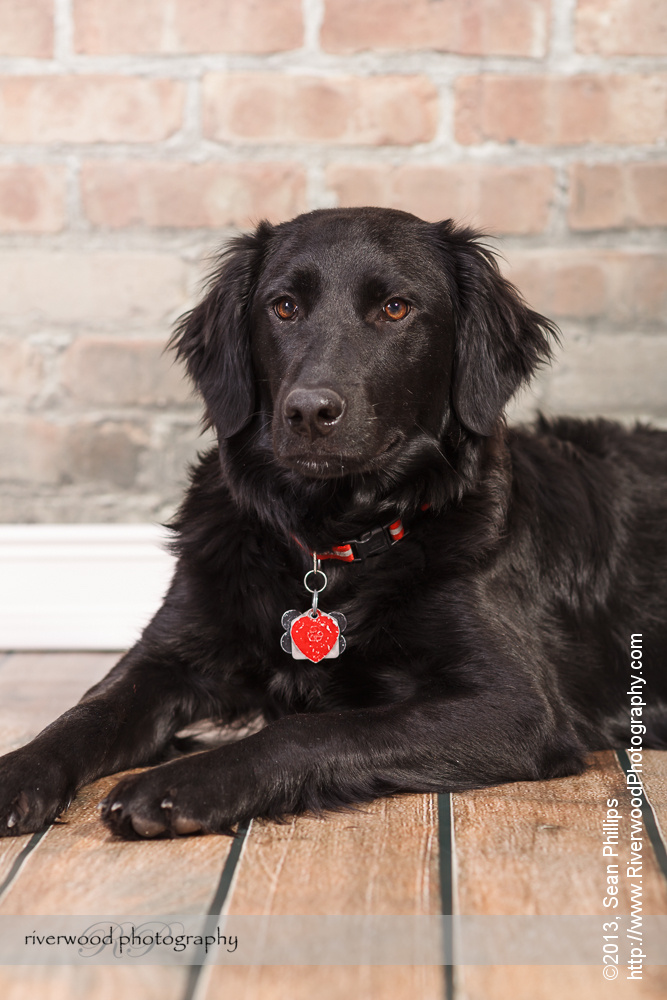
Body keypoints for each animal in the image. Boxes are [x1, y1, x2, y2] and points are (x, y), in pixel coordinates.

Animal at [1, 209, 667, 836]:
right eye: (284, 307)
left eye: (396, 308)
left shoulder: (515, 706)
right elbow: (88, 712)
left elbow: (313, 730)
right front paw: (17, 771)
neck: (330, 541)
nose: (309, 411)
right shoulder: (168, 654)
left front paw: (180, 783)